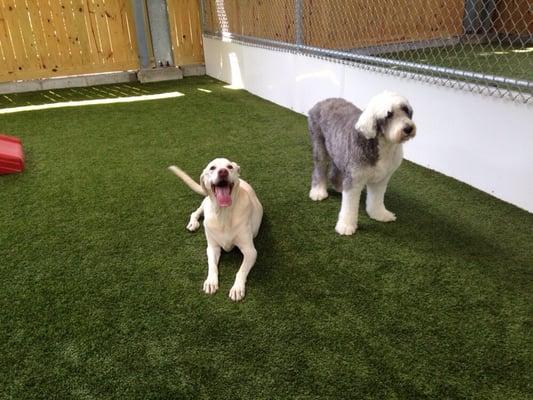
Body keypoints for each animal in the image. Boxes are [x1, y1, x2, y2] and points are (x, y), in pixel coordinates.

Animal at [168, 158, 262, 302]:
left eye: (229, 167)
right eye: (212, 168)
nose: (223, 171)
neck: (223, 214)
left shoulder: (250, 251)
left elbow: (241, 271)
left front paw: (237, 288)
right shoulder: (212, 247)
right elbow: (212, 266)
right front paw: (211, 282)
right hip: (205, 203)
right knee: (195, 212)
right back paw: (193, 223)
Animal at [308, 91, 416, 234]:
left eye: (405, 110)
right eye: (388, 115)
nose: (408, 128)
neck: (384, 145)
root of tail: (323, 101)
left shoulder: (380, 179)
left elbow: (376, 199)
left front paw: (380, 214)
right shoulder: (355, 179)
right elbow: (349, 206)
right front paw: (346, 226)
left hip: (339, 149)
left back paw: (339, 186)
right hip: (320, 144)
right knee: (319, 169)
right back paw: (318, 192)